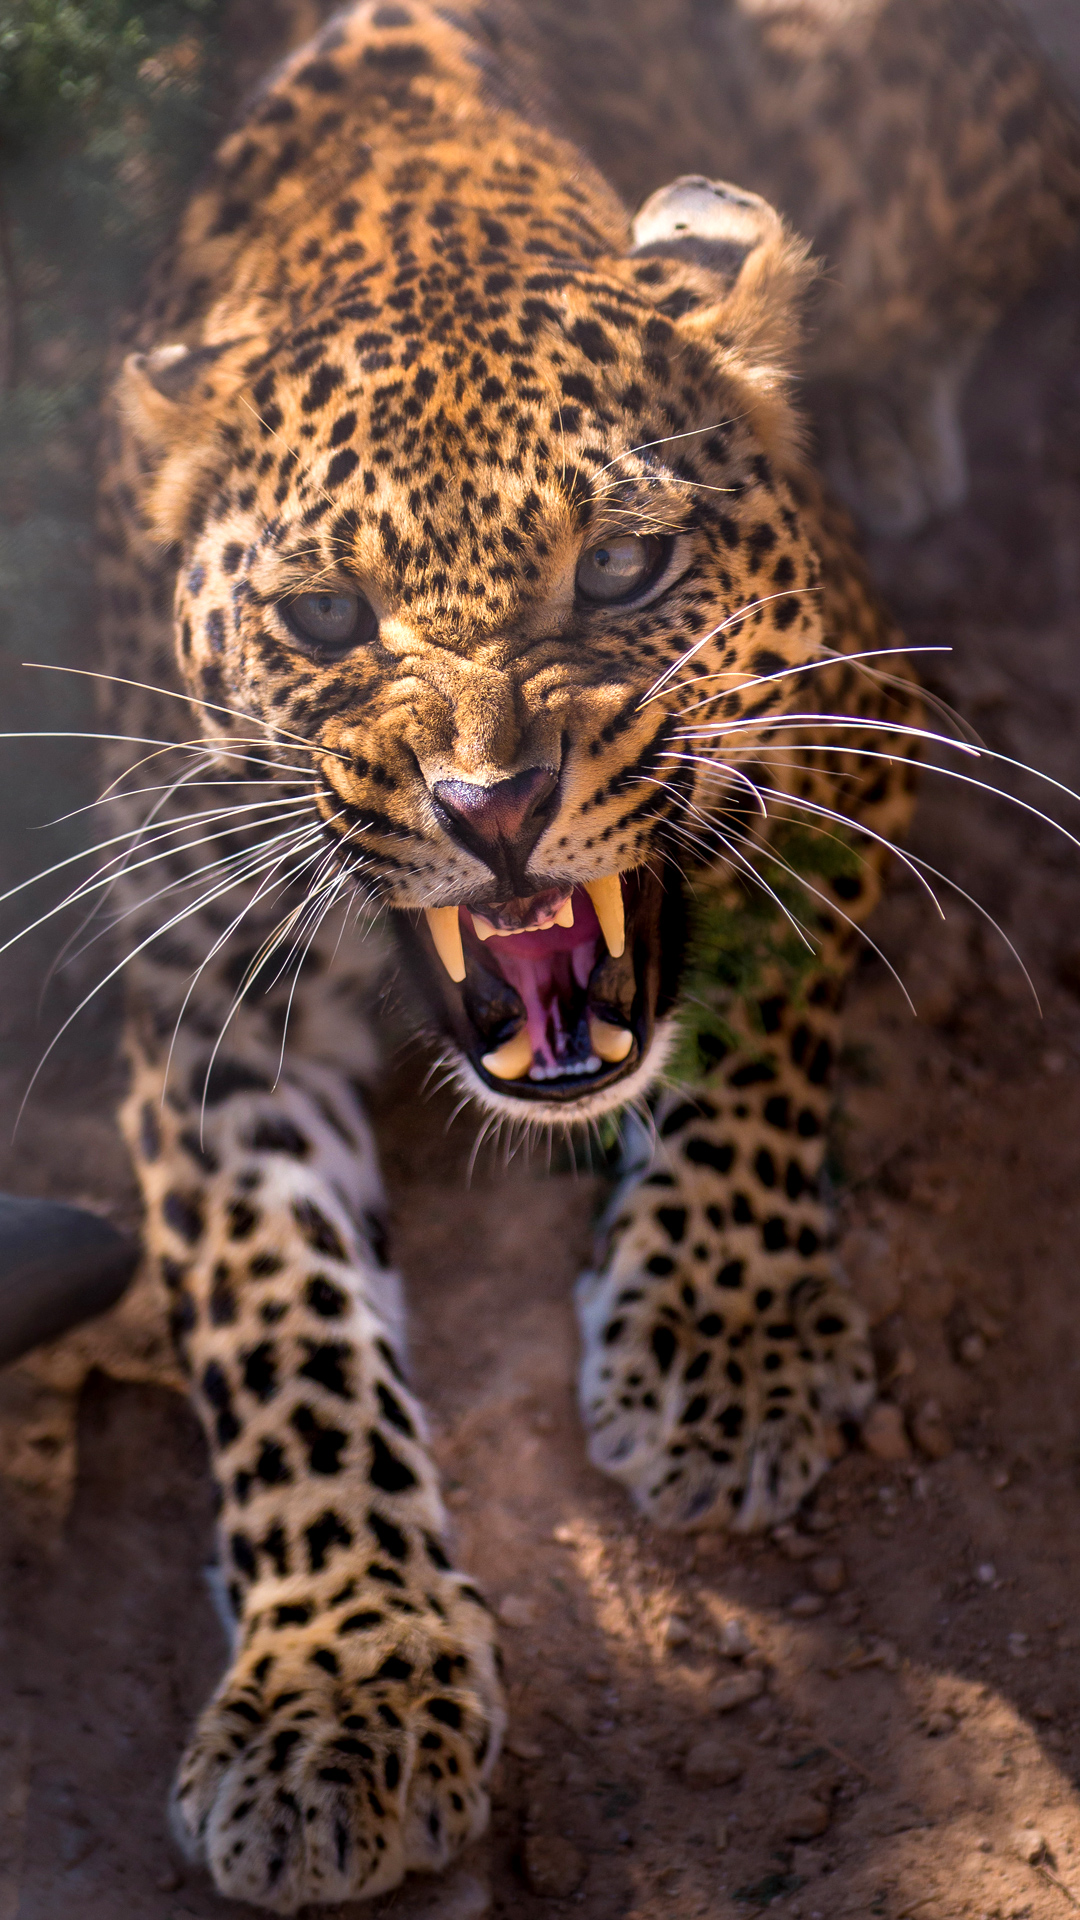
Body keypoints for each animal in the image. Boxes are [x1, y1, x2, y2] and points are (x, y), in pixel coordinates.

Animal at [88, 0, 1080, 1908]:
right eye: (322, 616)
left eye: (621, 569)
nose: (493, 806)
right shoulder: (198, 984)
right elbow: (277, 1319)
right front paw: (337, 1684)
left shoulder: (850, 731)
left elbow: (755, 1026)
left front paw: (723, 1339)